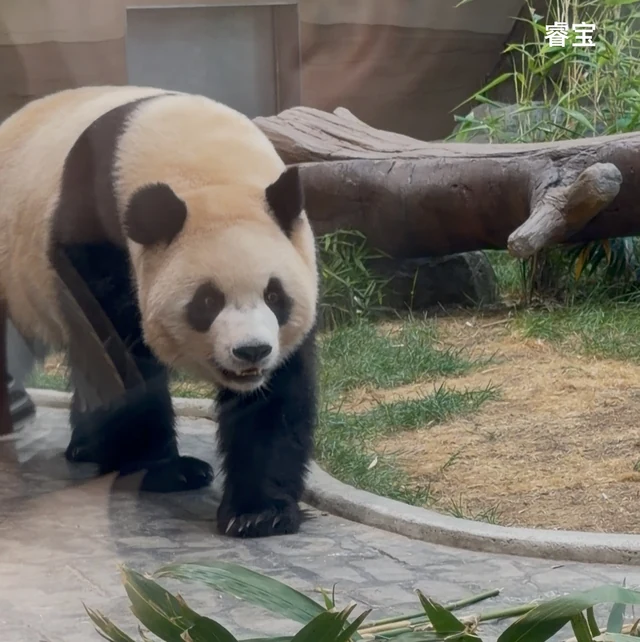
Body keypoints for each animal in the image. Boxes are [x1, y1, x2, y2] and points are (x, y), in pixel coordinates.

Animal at [0, 85, 319, 538]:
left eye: (275, 296)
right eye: (207, 301)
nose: (251, 352)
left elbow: (279, 392)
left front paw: (260, 512)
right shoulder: (95, 240)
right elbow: (119, 360)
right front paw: (167, 471)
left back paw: (85, 446)